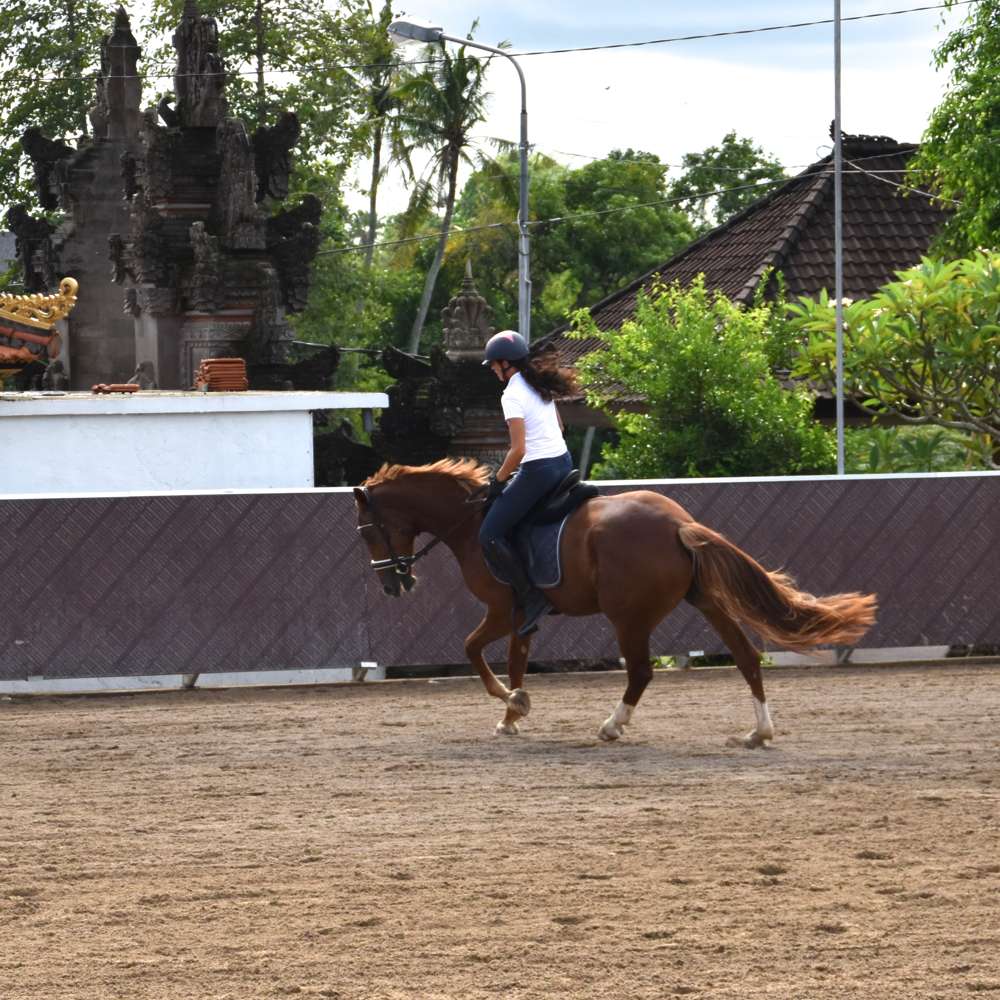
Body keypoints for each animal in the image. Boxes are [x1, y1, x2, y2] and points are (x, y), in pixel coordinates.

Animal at [354, 458, 876, 744]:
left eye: (367, 532)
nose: (391, 585)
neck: (472, 521)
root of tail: (678, 523)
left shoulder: (503, 610)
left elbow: (473, 650)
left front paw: (512, 704)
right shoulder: (523, 616)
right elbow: (516, 661)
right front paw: (512, 717)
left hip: (628, 617)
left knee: (641, 672)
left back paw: (611, 726)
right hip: (705, 601)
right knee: (746, 657)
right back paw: (759, 732)